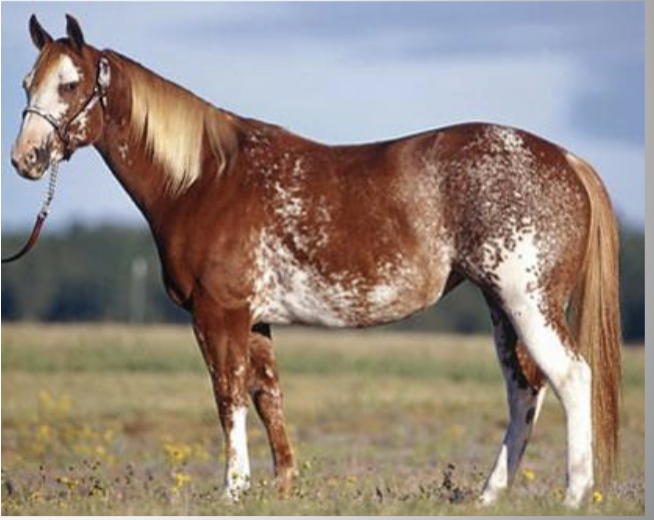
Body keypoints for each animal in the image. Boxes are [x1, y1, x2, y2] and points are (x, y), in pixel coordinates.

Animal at [9, 15, 621, 508]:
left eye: (70, 84)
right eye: (26, 82)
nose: (25, 159)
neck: (203, 180)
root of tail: (565, 159)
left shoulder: (218, 315)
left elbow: (228, 395)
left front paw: (233, 490)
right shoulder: (255, 319)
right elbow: (268, 398)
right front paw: (282, 487)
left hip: (529, 302)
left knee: (571, 378)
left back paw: (573, 495)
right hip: (502, 306)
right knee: (524, 391)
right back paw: (489, 495)